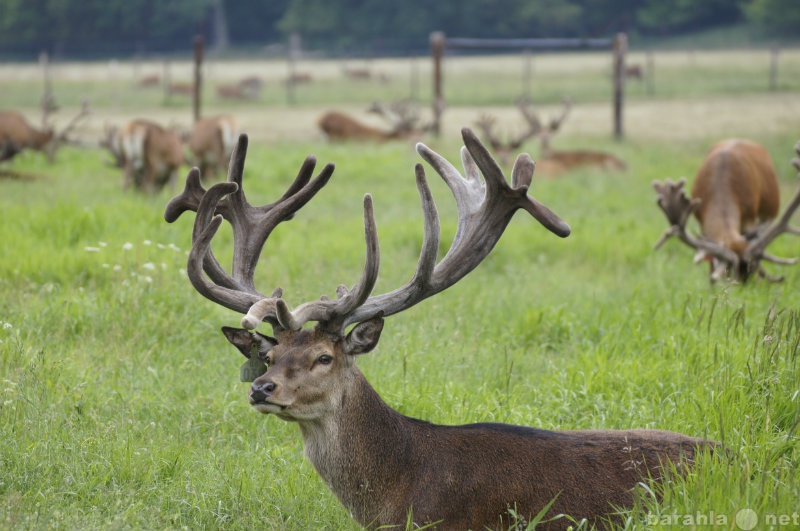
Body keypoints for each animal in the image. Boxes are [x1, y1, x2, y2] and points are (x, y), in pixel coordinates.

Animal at [648, 139, 800, 284]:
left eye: (751, 270)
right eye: (729, 271)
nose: (744, 288)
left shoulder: (749, 219)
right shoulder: (702, 223)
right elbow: (711, 267)